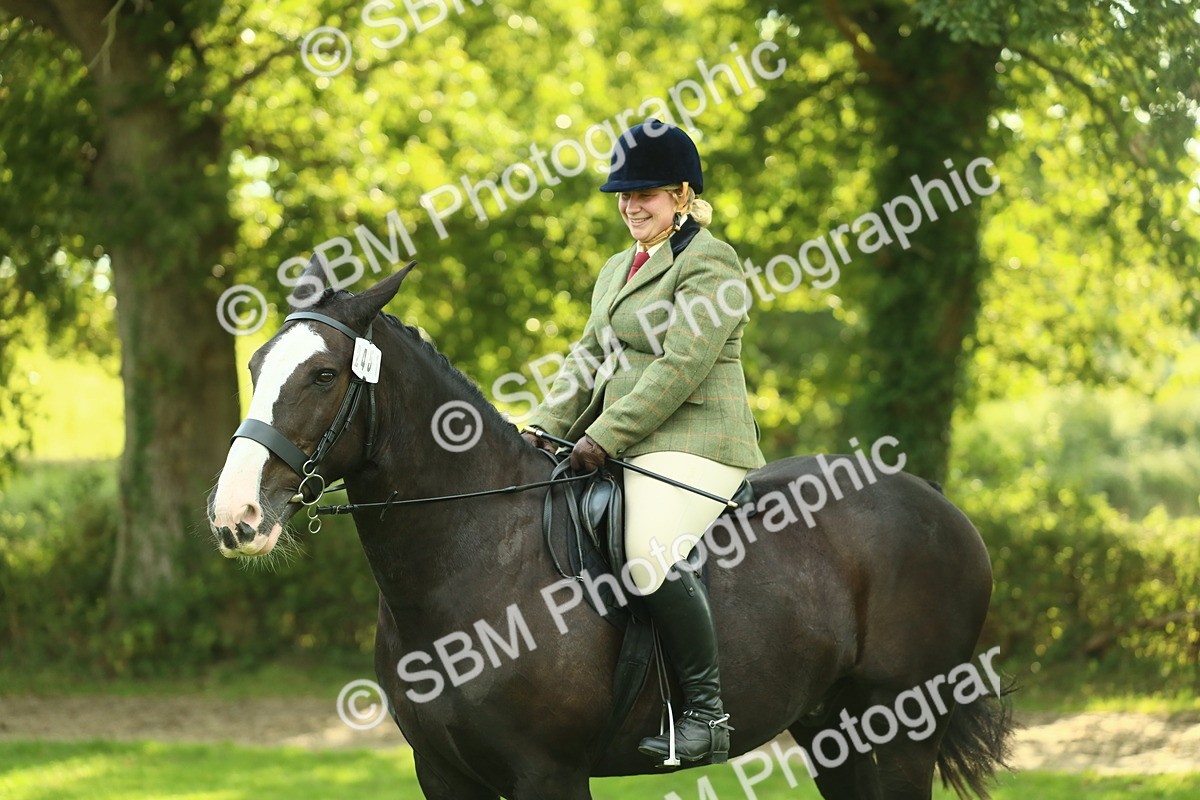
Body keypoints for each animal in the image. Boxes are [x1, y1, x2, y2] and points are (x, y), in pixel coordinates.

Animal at [207, 261, 1013, 799]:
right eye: (254, 365)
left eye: (322, 376)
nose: (234, 516)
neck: (476, 557)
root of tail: (931, 498)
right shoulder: (442, 773)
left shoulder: (548, 774)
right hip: (834, 730)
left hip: (902, 724)